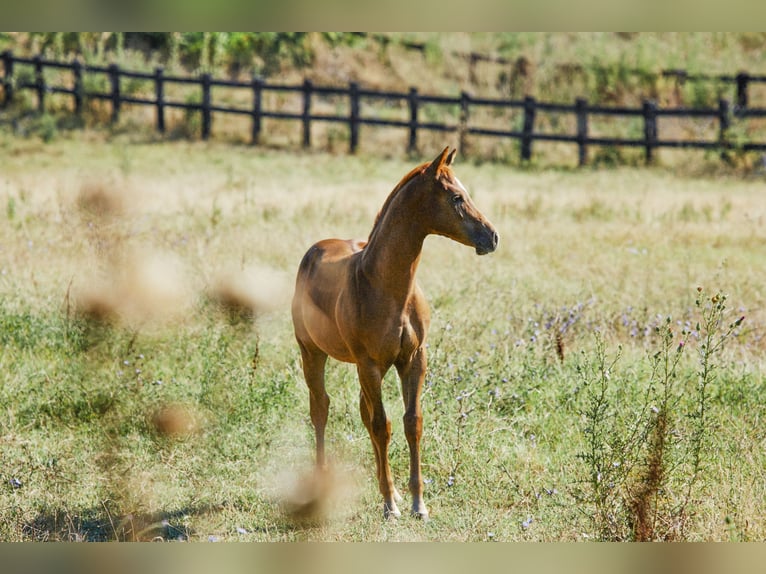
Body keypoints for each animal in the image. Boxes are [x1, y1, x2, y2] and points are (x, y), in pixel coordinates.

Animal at [292, 145, 500, 520]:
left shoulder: (414, 359)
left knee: (362, 413)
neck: (387, 288)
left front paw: (416, 501)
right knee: (321, 408)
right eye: (457, 197)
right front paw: (389, 504)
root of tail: (316, 248)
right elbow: (381, 425)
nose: (492, 236)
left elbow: (410, 423)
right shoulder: (368, 364)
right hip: (312, 353)